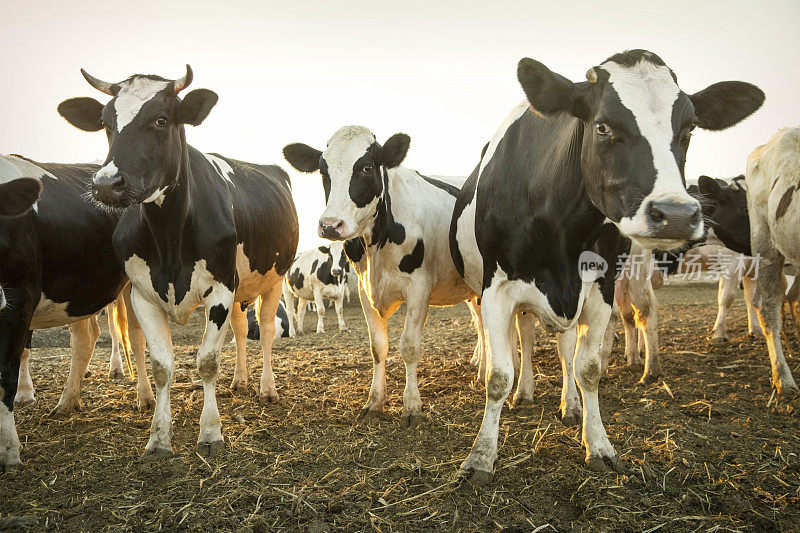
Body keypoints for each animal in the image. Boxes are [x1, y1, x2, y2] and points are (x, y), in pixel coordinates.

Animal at [0, 155, 152, 470]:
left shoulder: (18, 301)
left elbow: (7, 372)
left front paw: (8, 451)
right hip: (79, 289)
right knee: (86, 337)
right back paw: (68, 401)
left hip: (133, 282)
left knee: (135, 336)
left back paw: (145, 398)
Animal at [57, 65, 298, 458]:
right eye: (105, 121)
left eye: (161, 119)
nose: (106, 184)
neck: (169, 234)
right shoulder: (143, 295)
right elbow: (161, 366)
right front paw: (158, 437)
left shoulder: (220, 290)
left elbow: (207, 362)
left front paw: (211, 433)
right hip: (239, 288)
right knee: (242, 329)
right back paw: (240, 381)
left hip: (274, 278)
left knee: (263, 330)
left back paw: (266, 387)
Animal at [450, 51, 764, 482]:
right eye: (602, 126)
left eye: (689, 128)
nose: (676, 215)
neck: (560, 231)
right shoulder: (495, 289)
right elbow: (499, 375)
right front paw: (481, 456)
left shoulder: (600, 286)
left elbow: (588, 367)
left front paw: (597, 444)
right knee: (524, 339)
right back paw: (525, 392)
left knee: (562, 347)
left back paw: (568, 405)